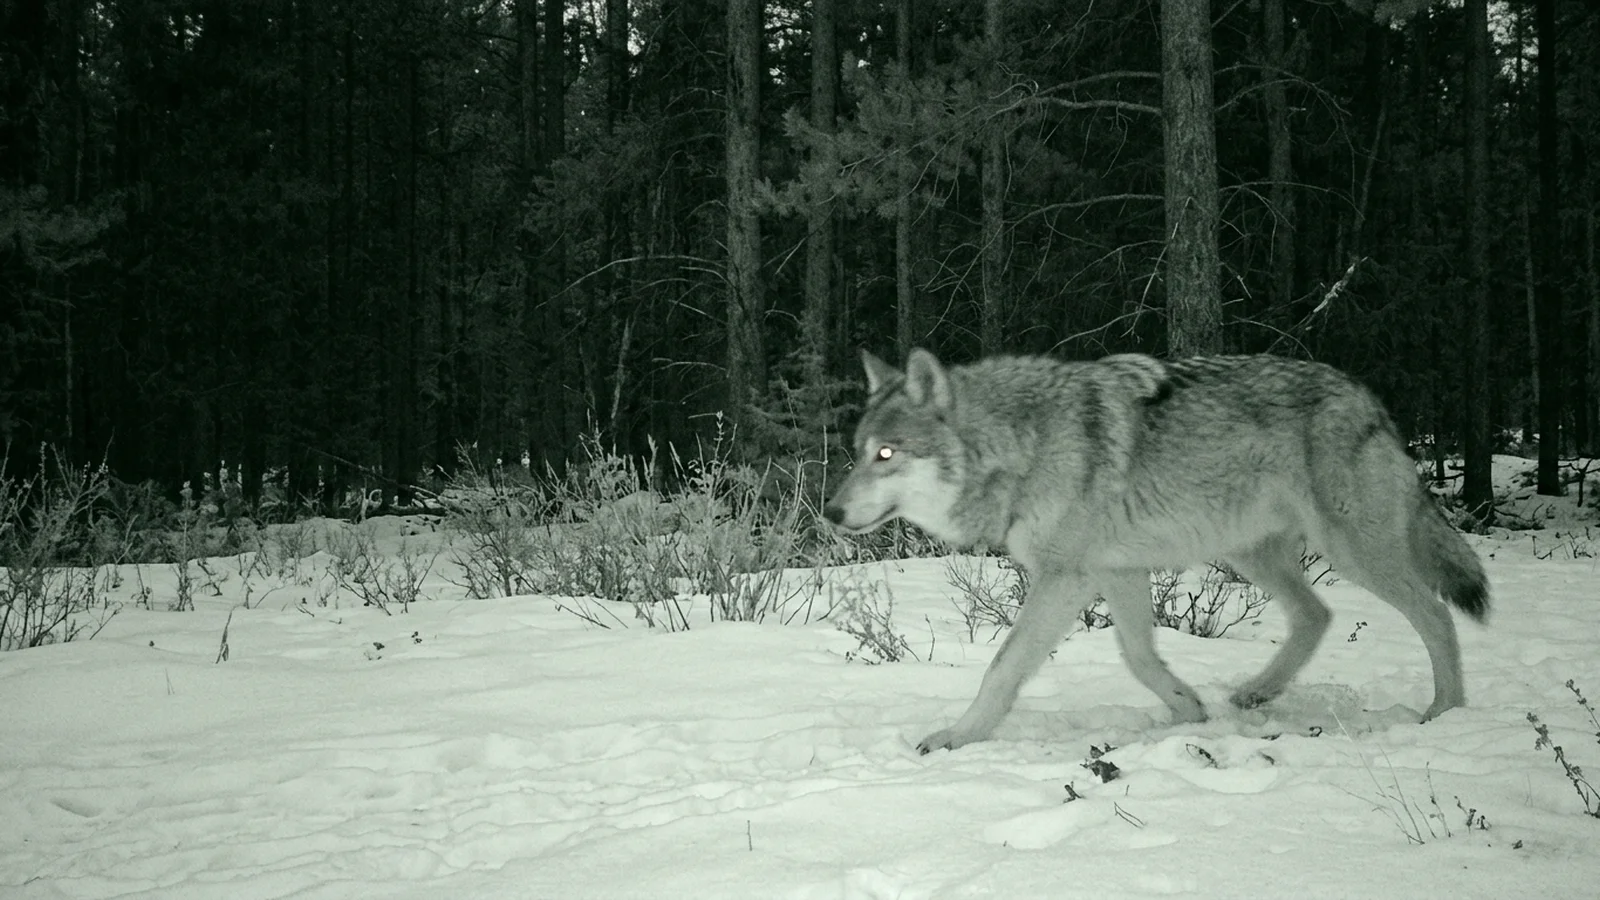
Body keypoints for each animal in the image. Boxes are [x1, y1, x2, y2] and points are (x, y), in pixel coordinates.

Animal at [822, 348, 1490, 754]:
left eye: (887, 454)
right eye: (858, 452)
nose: (831, 512)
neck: (1020, 445)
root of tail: (1369, 399)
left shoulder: (1065, 578)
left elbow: (1002, 668)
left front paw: (958, 738)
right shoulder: (1116, 570)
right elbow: (1139, 658)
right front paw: (1187, 710)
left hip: (1350, 551)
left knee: (1435, 615)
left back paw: (1445, 712)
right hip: (1253, 553)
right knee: (1316, 614)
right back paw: (1255, 693)